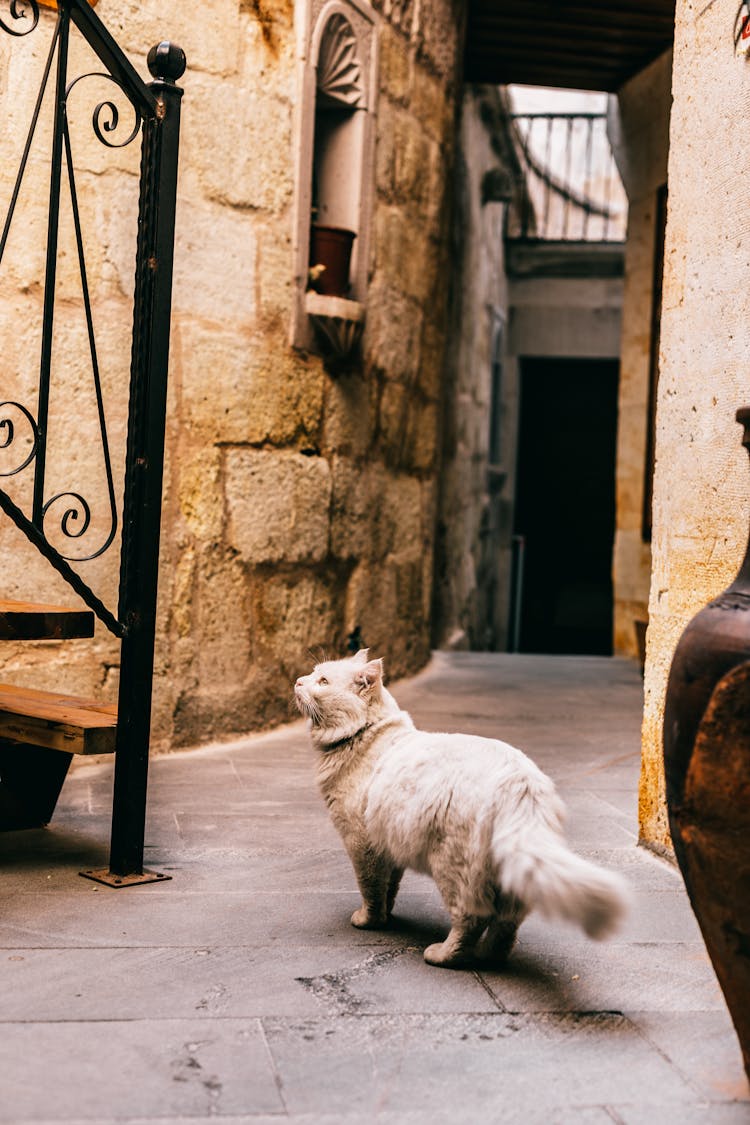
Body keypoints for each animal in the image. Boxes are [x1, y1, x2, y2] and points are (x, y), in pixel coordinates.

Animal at [292, 652, 629, 967]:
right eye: (311, 674)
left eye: (322, 681)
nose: (297, 681)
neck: (366, 735)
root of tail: (520, 781)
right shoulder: (389, 845)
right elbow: (390, 888)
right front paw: (388, 917)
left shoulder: (362, 844)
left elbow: (371, 889)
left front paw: (369, 921)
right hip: (506, 879)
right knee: (506, 925)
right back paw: (489, 957)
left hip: (454, 869)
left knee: (471, 920)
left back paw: (443, 955)